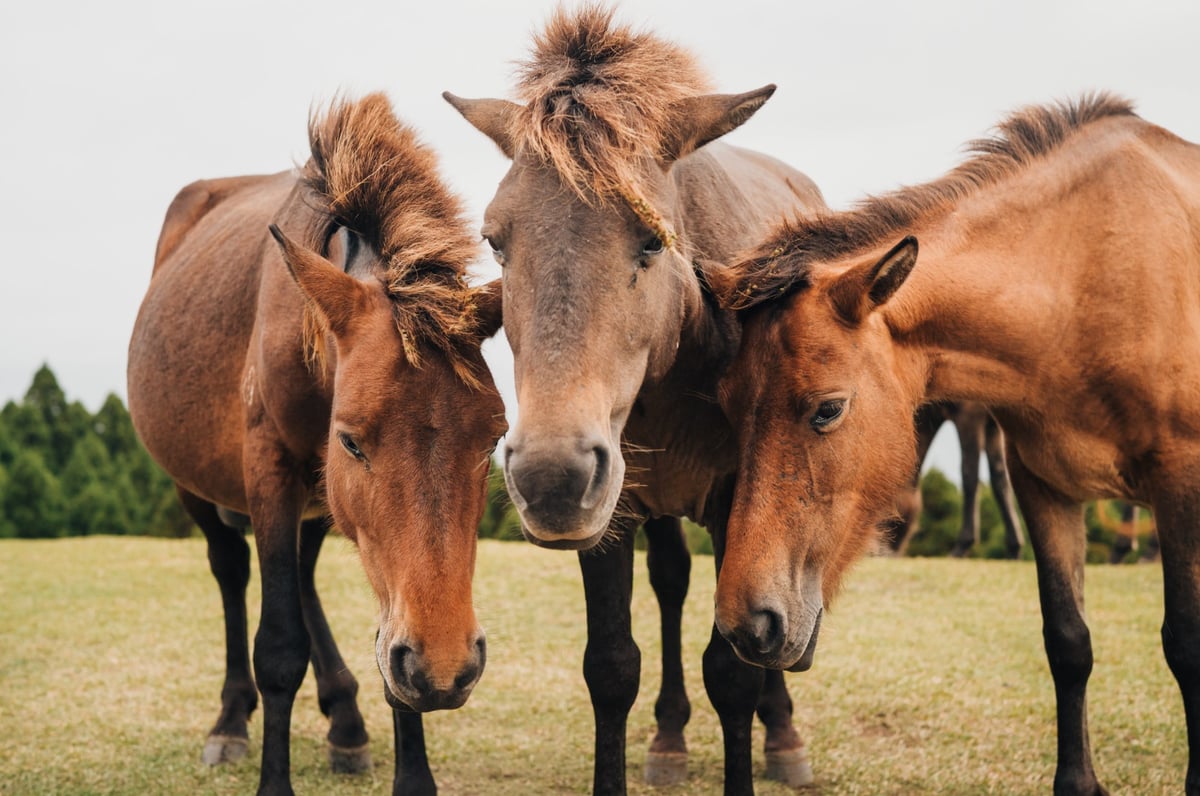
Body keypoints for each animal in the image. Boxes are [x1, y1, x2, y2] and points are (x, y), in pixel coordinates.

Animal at [127, 94, 506, 796]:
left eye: (493, 437)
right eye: (351, 442)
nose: (447, 667)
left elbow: (385, 649)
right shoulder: (271, 465)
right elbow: (279, 646)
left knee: (302, 579)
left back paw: (346, 723)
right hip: (197, 488)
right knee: (231, 570)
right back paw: (231, 721)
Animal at [444, 6, 824, 793]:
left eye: (651, 240)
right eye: (494, 242)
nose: (551, 479)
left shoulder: (737, 501)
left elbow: (735, 669)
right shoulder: (612, 516)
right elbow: (612, 667)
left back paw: (783, 736)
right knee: (672, 583)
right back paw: (671, 737)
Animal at [887, 401, 1025, 558]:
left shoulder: (970, 414)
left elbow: (969, 476)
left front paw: (962, 545)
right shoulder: (993, 428)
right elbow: (1000, 481)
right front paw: (1014, 548)